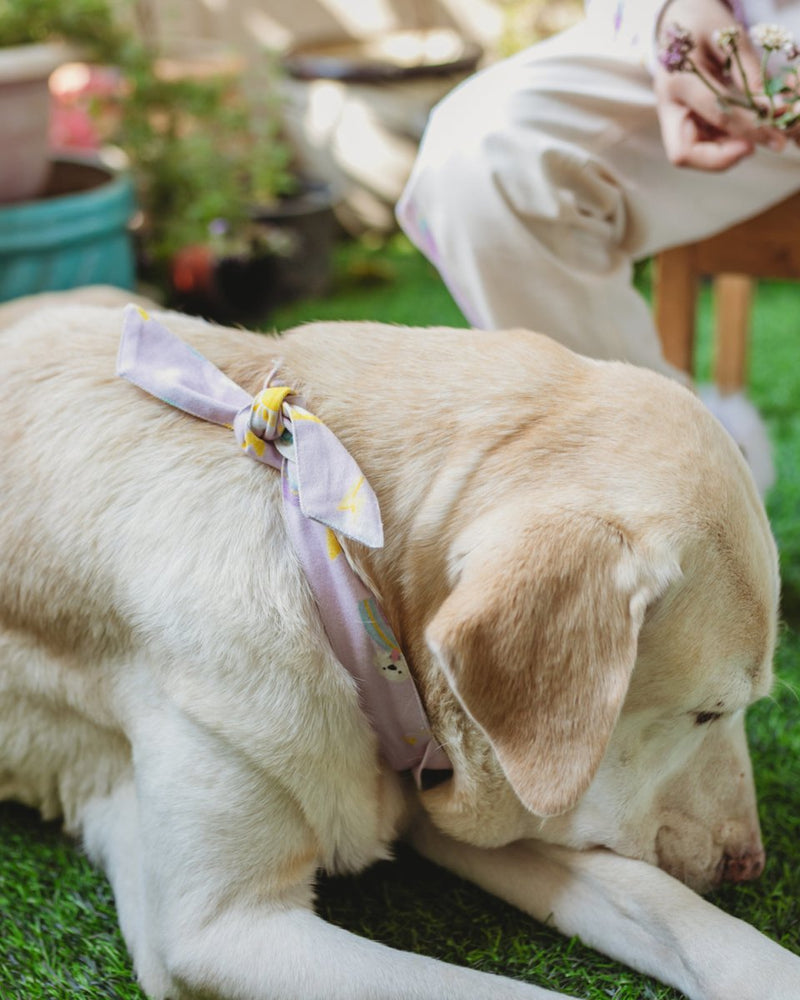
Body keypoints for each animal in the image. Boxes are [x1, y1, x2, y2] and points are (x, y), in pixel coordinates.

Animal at [1, 292, 800, 1000]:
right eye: (708, 711)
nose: (750, 864)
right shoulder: (224, 928)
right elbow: (505, 995)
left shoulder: (476, 787)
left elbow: (678, 914)